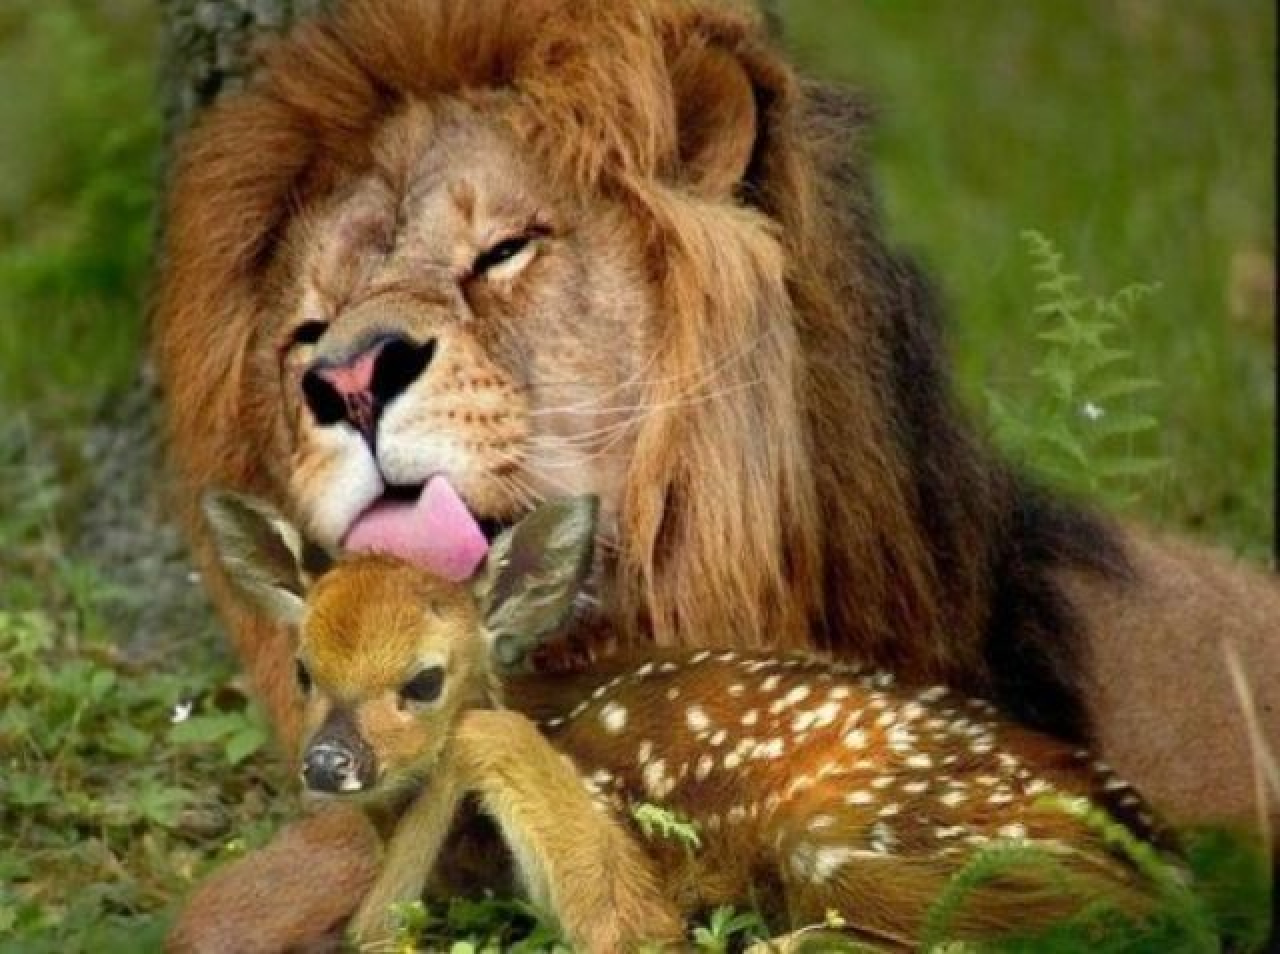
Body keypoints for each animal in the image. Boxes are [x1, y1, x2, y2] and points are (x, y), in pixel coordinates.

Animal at [202, 490, 1181, 952]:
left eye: (424, 680)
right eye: (304, 668)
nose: (328, 762)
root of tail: (1162, 862)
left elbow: (628, 924)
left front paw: (373, 929)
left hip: (850, 842)